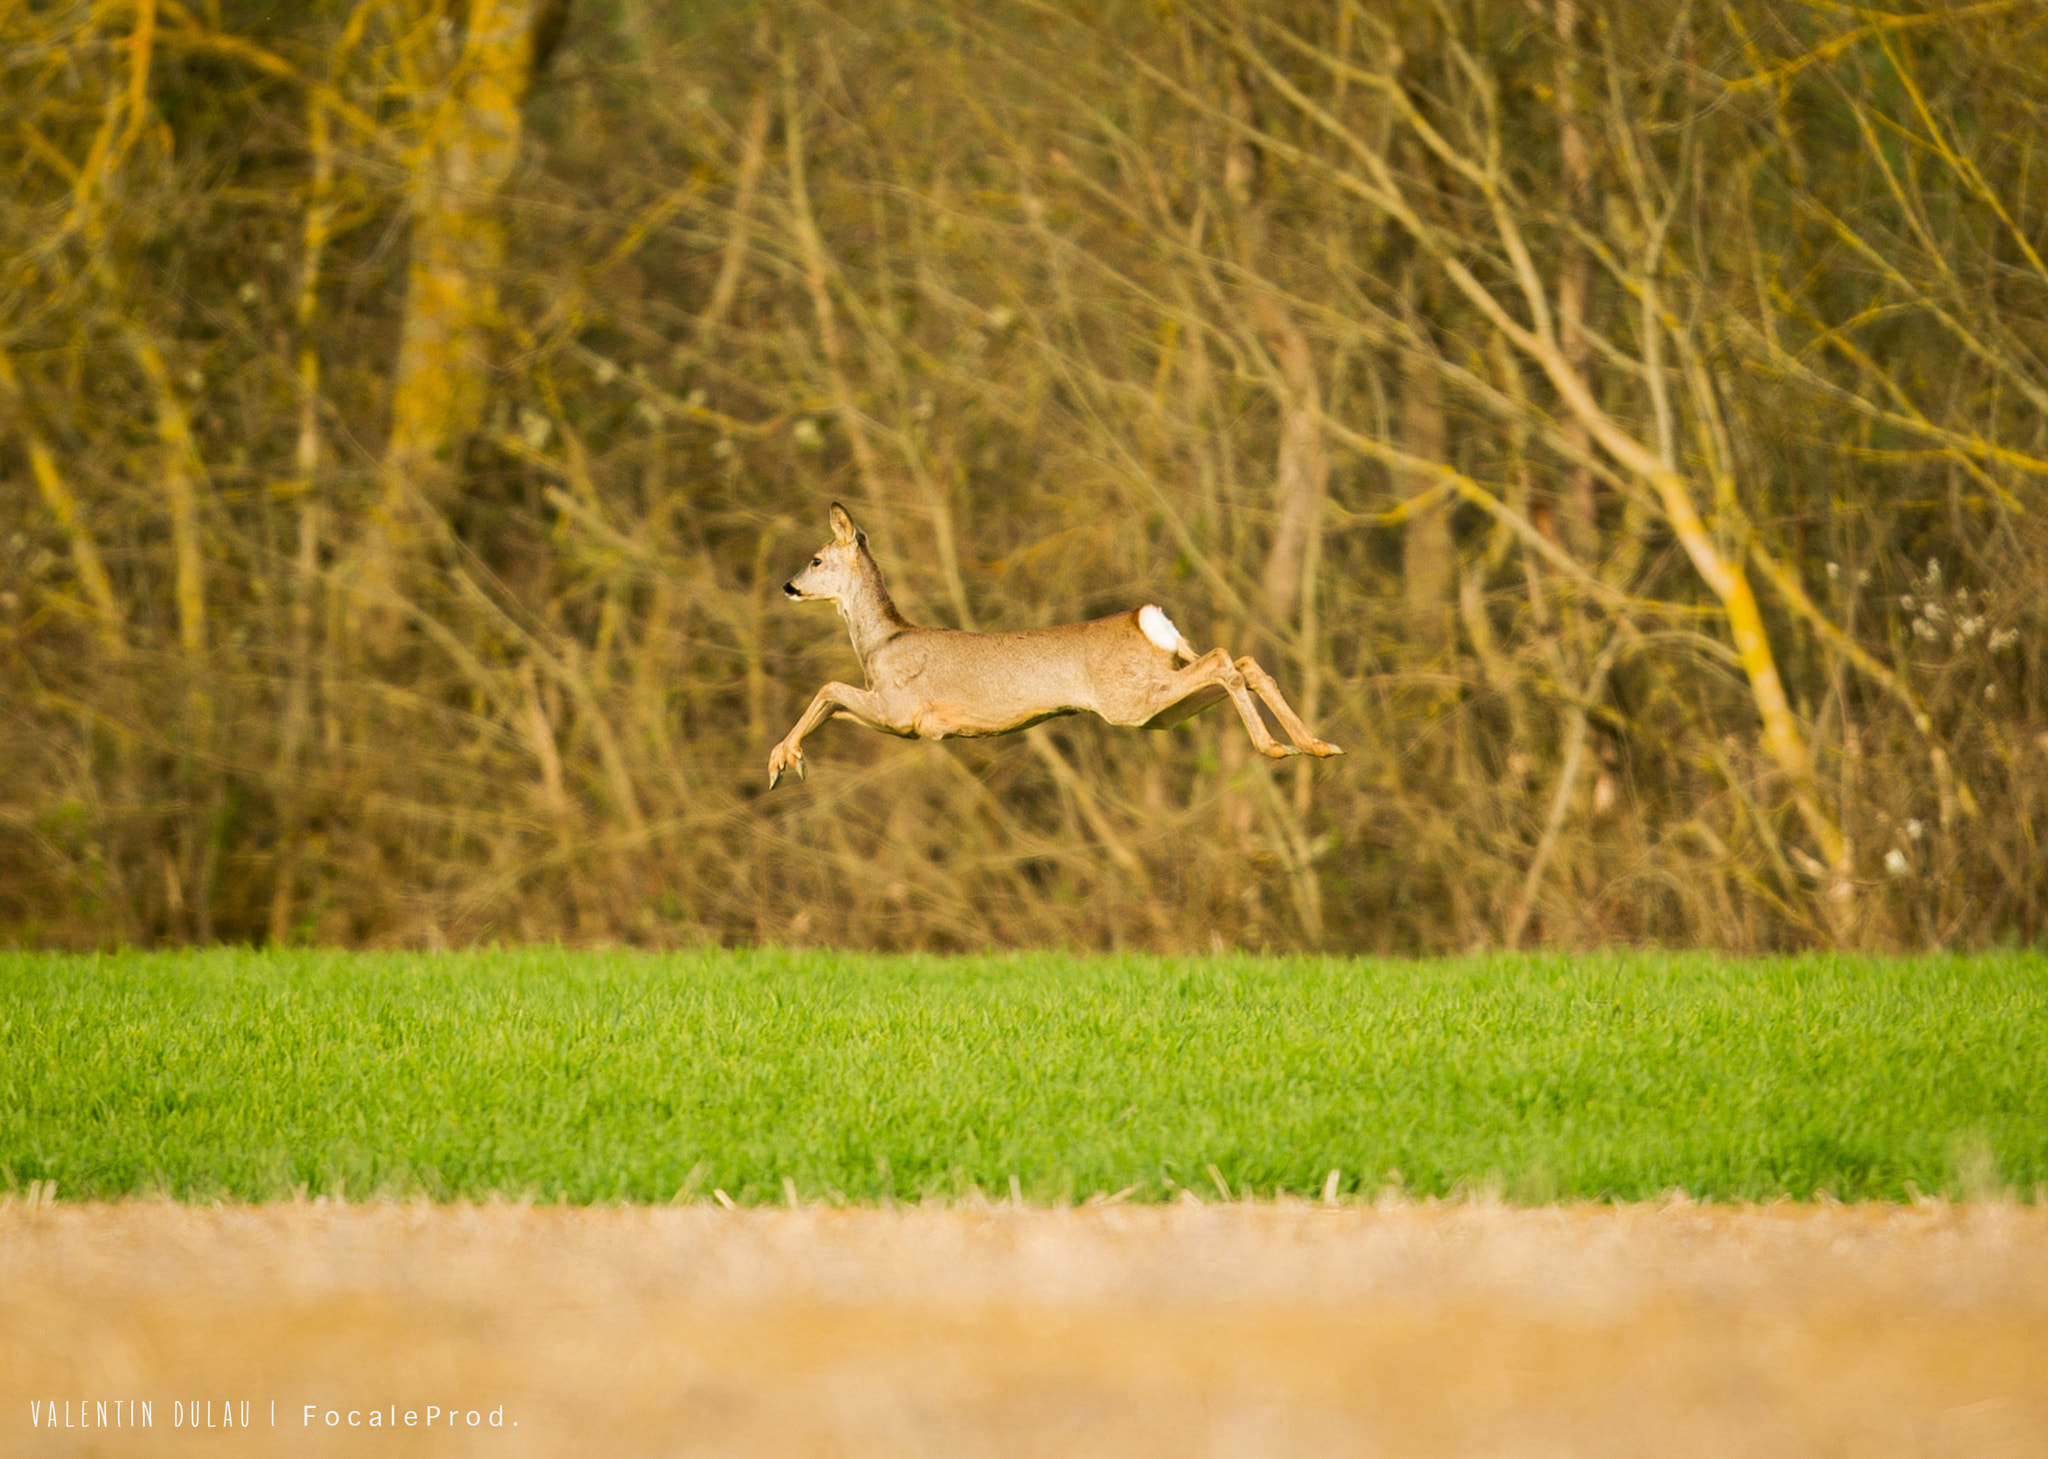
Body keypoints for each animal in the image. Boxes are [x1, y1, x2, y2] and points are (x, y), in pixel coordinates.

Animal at [770, 502, 1343, 786]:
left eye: (816, 559)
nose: (789, 586)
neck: (881, 642)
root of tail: (1149, 620)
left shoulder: (900, 708)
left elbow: (827, 689)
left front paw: (780, 761)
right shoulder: (895, 719)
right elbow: (833, 707)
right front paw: (792, 761)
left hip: (1129, 700)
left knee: (1224, 661)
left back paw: (1277, 747)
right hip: (1158, 707)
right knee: (1241, 661)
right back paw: (1315, 744)